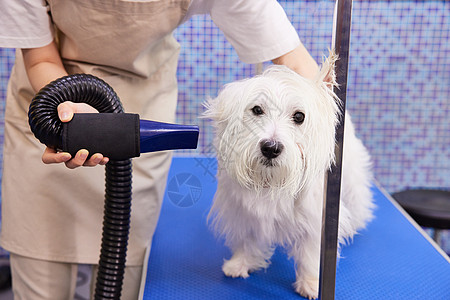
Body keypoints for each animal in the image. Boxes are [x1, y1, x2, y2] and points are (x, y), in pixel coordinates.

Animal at [203, 52, 372, 298]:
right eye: (256, 110)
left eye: (299, 116)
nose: (271, 148)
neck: (270, 179)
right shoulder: (242, 212)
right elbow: (246, 240)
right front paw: (240, 263)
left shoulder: (316, 219)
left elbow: (311, 254)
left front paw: (311, 284)